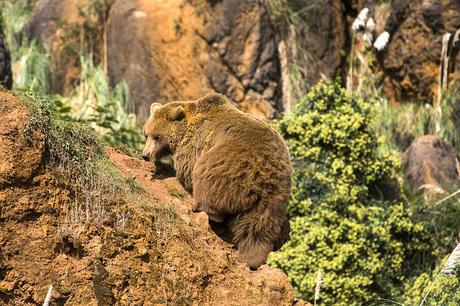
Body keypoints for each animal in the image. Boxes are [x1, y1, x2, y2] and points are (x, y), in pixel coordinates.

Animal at [141, 94, 292, 268]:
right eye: (146, 134)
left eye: (156, 136)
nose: (145, 155)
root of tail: (267, 173)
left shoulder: (196, 143)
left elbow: (187, 170)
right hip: (274, 196)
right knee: (257, 227)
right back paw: (252, 257)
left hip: (230, 165)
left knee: (209, 181)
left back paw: (202, 208)